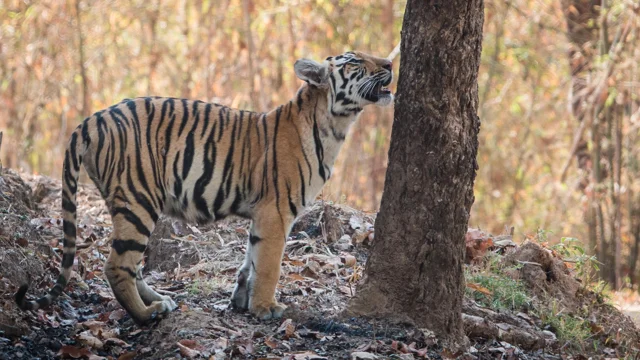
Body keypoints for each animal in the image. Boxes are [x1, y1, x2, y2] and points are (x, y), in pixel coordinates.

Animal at [15, 50, 392, 324]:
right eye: (355, 61)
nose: (390, 63)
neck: (334, 124)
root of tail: (92, 119)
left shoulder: (263, 215)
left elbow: (250, 259)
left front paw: (241, 300)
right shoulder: (276, 212)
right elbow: (269, 264)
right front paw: (266, 307)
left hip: (125, 201)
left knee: (132, 264)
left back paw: (161, 301)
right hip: (139, 199)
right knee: (118, 266)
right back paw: (147, 314)